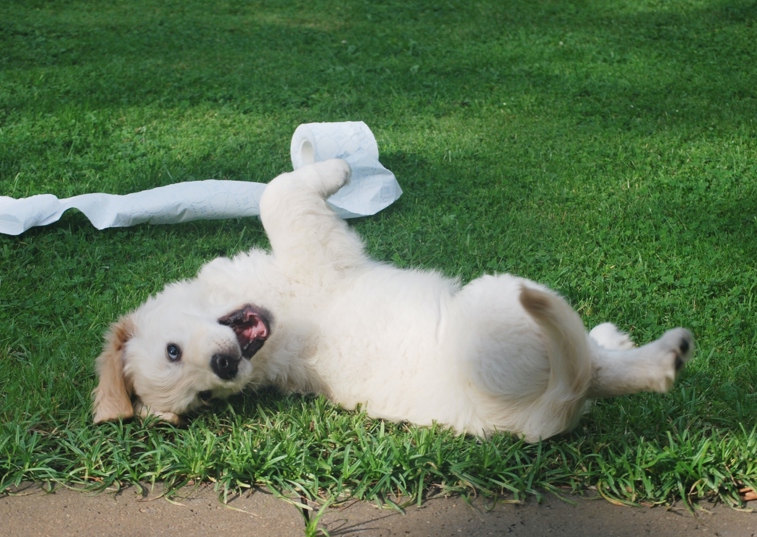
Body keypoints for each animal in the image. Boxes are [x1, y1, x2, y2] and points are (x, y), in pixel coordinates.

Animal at [91, 160, 692, 440]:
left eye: (173, 352)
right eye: (205, 397)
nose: (224, 369)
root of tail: (541, 416)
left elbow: (277, 189)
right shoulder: (313, 246)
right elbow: (277, 193)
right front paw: (339, 170)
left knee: (595, 362)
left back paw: (618, 339)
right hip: (502, 305)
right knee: (594, 368)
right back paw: (663, 357)